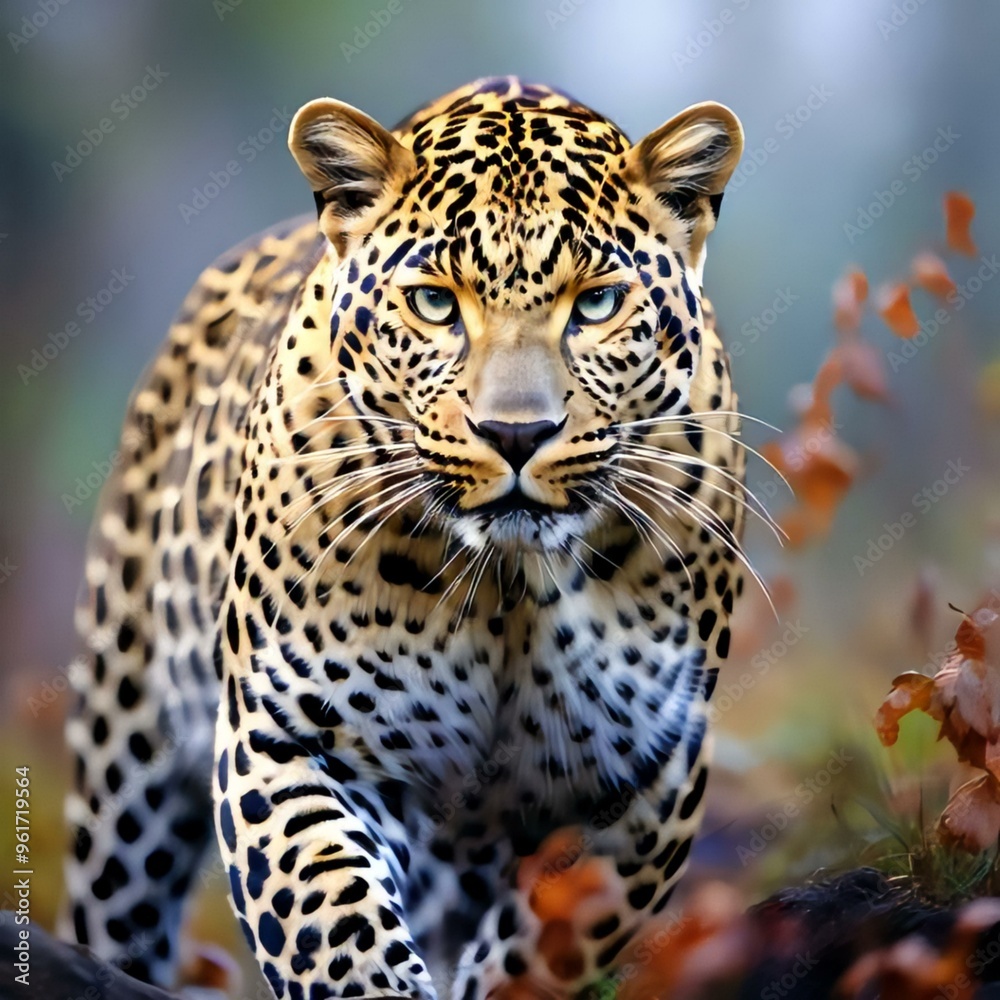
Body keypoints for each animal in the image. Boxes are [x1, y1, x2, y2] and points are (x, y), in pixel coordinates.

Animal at [60, 76, 752, 999]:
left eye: (598, 303)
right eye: (434, 303)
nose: (516, 434)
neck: (510, 586)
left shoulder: (641, 778)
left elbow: (544, 953)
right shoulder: (290, 738)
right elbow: (331, 924)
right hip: (123, 756)